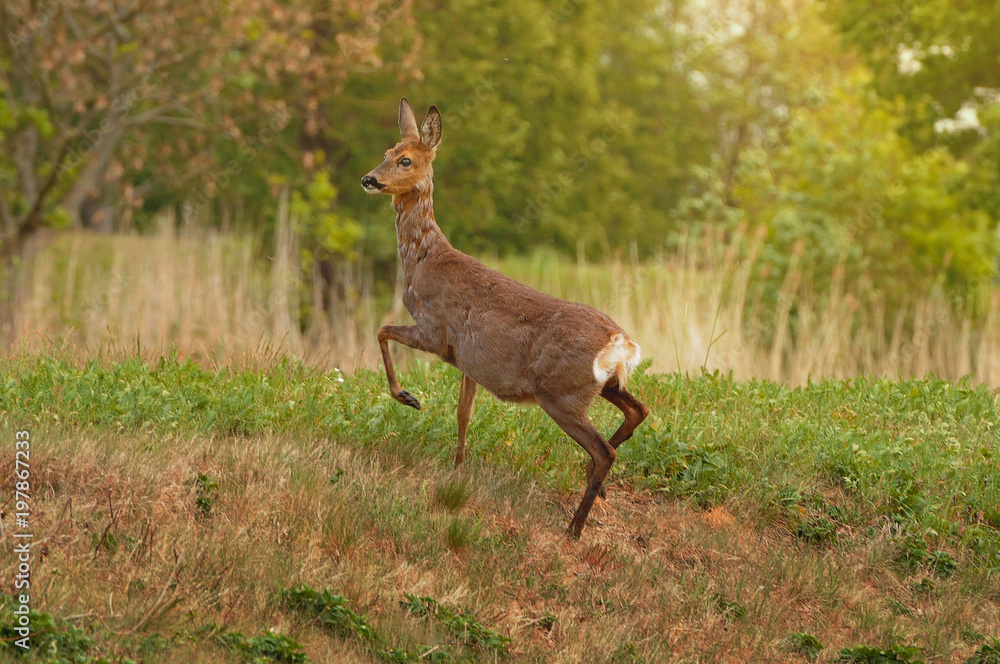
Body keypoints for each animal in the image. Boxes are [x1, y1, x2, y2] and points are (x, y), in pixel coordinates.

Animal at [361, 98, 649, 537]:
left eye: (405, 160)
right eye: (386, 152)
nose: (369, 179)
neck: (422, 261)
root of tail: (621, 344)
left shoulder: (435, 331)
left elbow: (380, 330)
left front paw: (408, 397)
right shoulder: (468, 359)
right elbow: (463, 415)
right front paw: (457, 468)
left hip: (560, 393)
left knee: (604, 451)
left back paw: (574, 528)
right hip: (601, 385)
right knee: (638, 411)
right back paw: (593, 489)